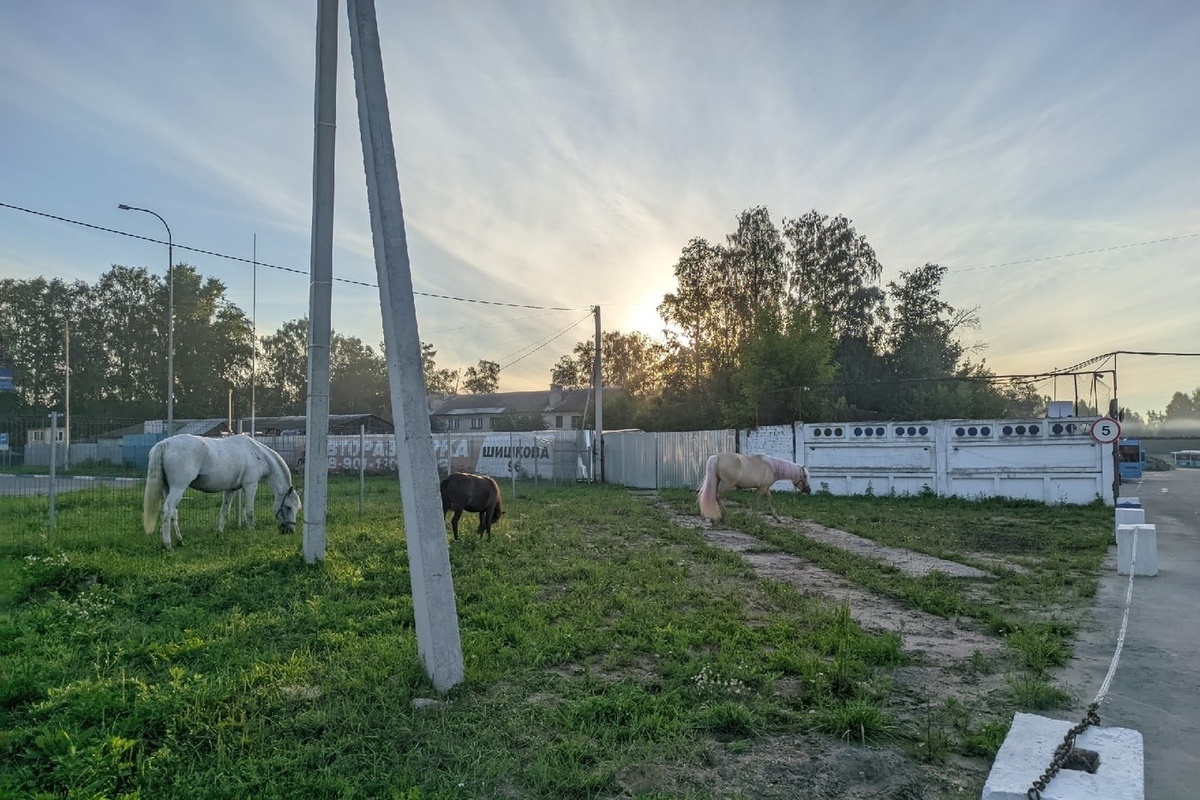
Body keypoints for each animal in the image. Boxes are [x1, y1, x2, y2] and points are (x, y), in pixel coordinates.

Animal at [141, 438, 302, 551]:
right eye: (288, 507)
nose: (290, 531)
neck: (257, 454)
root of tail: (165, 443)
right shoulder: (250, 485)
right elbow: (249, 512)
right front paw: (251, 533)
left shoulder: (230, 489)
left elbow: (224, 511)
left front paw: (219, 533)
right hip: (178, 488)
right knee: (168, 511)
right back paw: (168, 545)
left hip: (168, 488)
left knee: (173, 513)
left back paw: (180, 540)